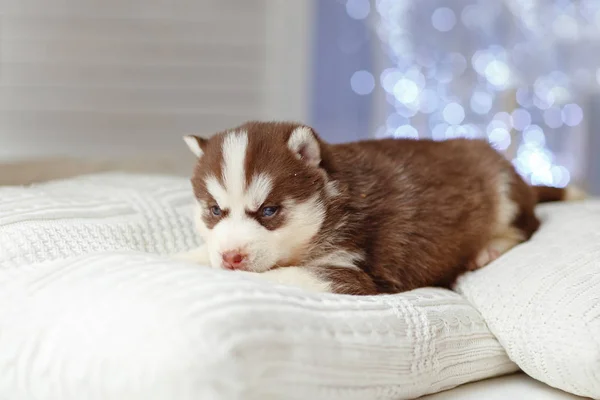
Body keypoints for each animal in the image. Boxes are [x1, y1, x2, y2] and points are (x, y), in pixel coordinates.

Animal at [175, 120, 584, 296]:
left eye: (269, 211)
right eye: (214, 211)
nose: (231, 257)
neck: (333, 203)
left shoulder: (354, 271)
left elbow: (278, 274)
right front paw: (186, 258)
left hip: (504, 190)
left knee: (526, 226)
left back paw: (489, 248)